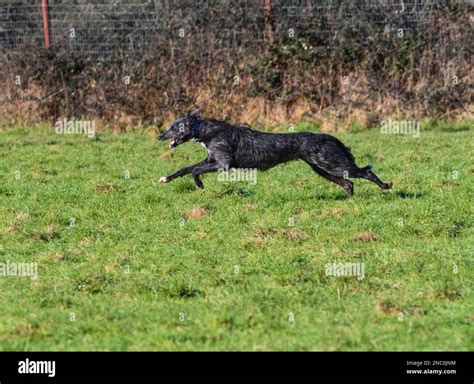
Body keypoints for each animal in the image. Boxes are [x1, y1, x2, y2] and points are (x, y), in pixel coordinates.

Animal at [159, 110, 392, 195]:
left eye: (174, 127)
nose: (160, 136)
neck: (206, 131)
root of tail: (326, 136)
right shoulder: (210, 159)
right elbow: (185, 168)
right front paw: (166, 178)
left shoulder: (222, 164)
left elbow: (195, 170)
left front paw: (199, 185)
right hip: (322, 169)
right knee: (348, 183)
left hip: (331, 163)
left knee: (364, 172)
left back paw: (385, 186)